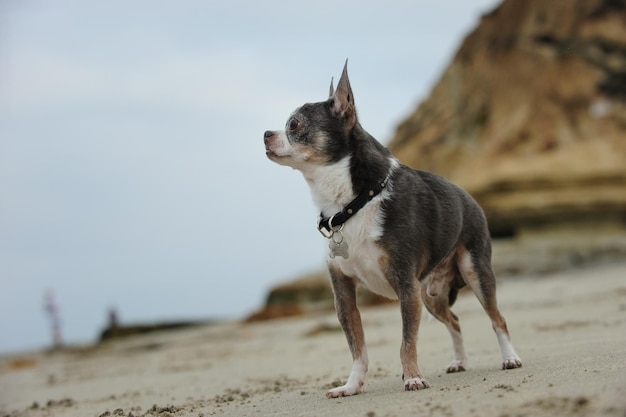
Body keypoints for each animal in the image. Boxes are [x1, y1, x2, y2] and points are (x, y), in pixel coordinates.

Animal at [260, 61, 520, 396]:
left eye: (293, 124)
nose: (265, 134)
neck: (353, 203)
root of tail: (471, 198)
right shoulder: (344, 294)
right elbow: (357, 348)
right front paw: (351, 386)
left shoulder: (405, 285)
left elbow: (406, 342)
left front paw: (413, 377)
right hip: (429, 296)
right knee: (455, 320)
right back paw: (459, 361)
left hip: (474, 272)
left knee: (497, 318)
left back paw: (510, 357)